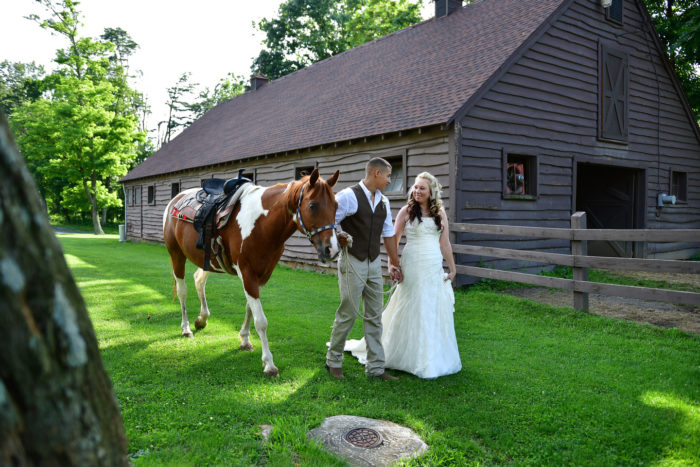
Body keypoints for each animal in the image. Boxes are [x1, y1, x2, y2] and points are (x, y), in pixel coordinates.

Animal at [164, 168, 340, 376]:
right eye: (313, 205)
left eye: (336, 205)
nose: (332, 250)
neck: (262, 224)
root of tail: (175, 200)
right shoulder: (247, 274)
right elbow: (261, 321)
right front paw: (269, 363)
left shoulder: (262, 275)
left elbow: (250, 309)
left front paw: (245, 340)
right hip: (176, 255)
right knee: (182, 291)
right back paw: (186, 329)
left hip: (208, 261)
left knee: (199, 280)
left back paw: (202, 319)